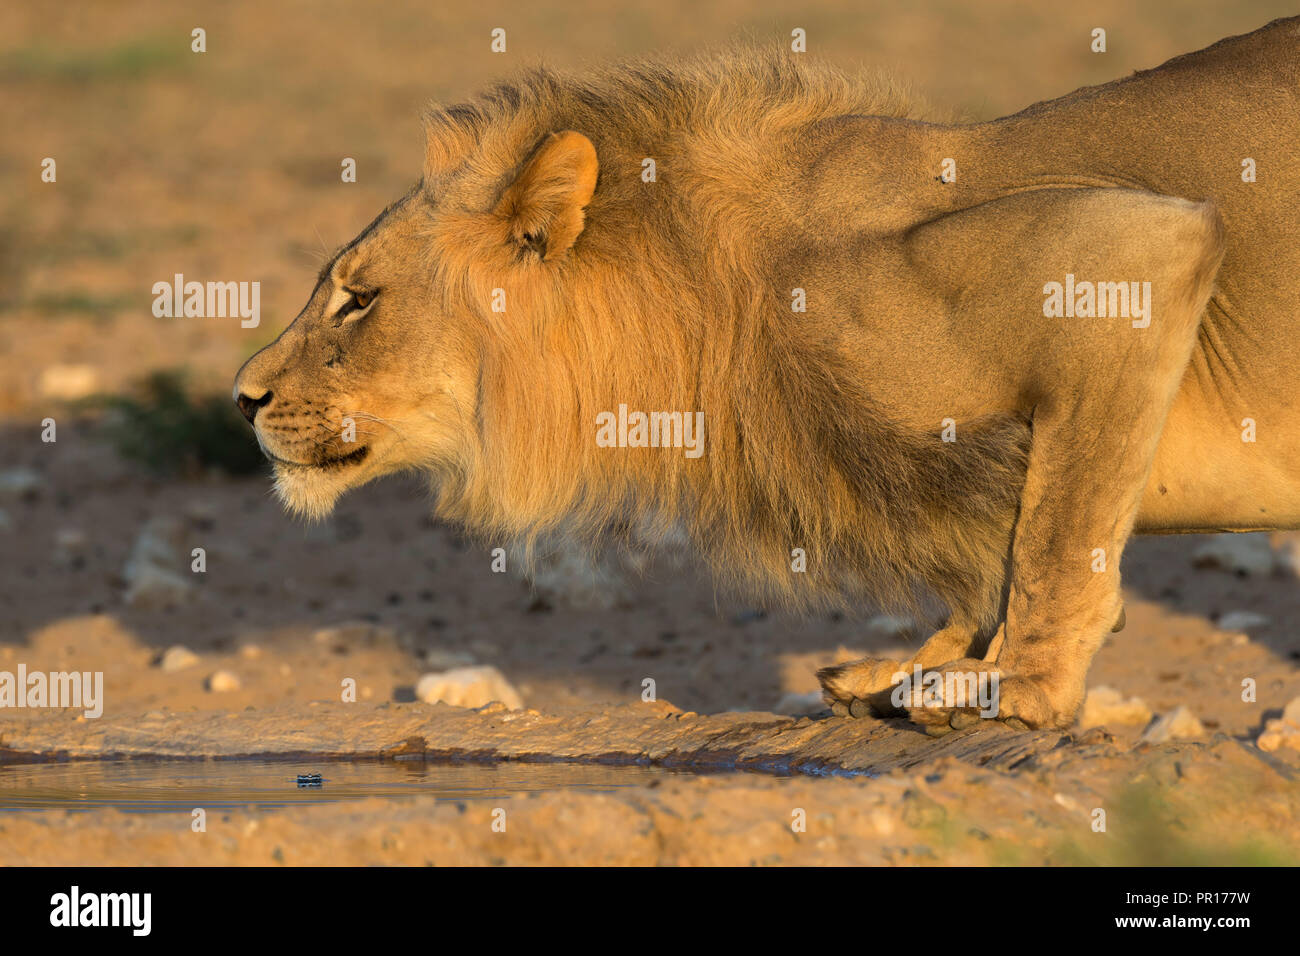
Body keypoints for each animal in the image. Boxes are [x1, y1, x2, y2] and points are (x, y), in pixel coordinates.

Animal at [233, 16, 1300, 733]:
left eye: (358, 300)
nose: (242, 399)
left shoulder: (1127, 249)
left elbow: (1056, 532)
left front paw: (1018, 684)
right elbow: (999, 561)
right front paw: (912, 669)